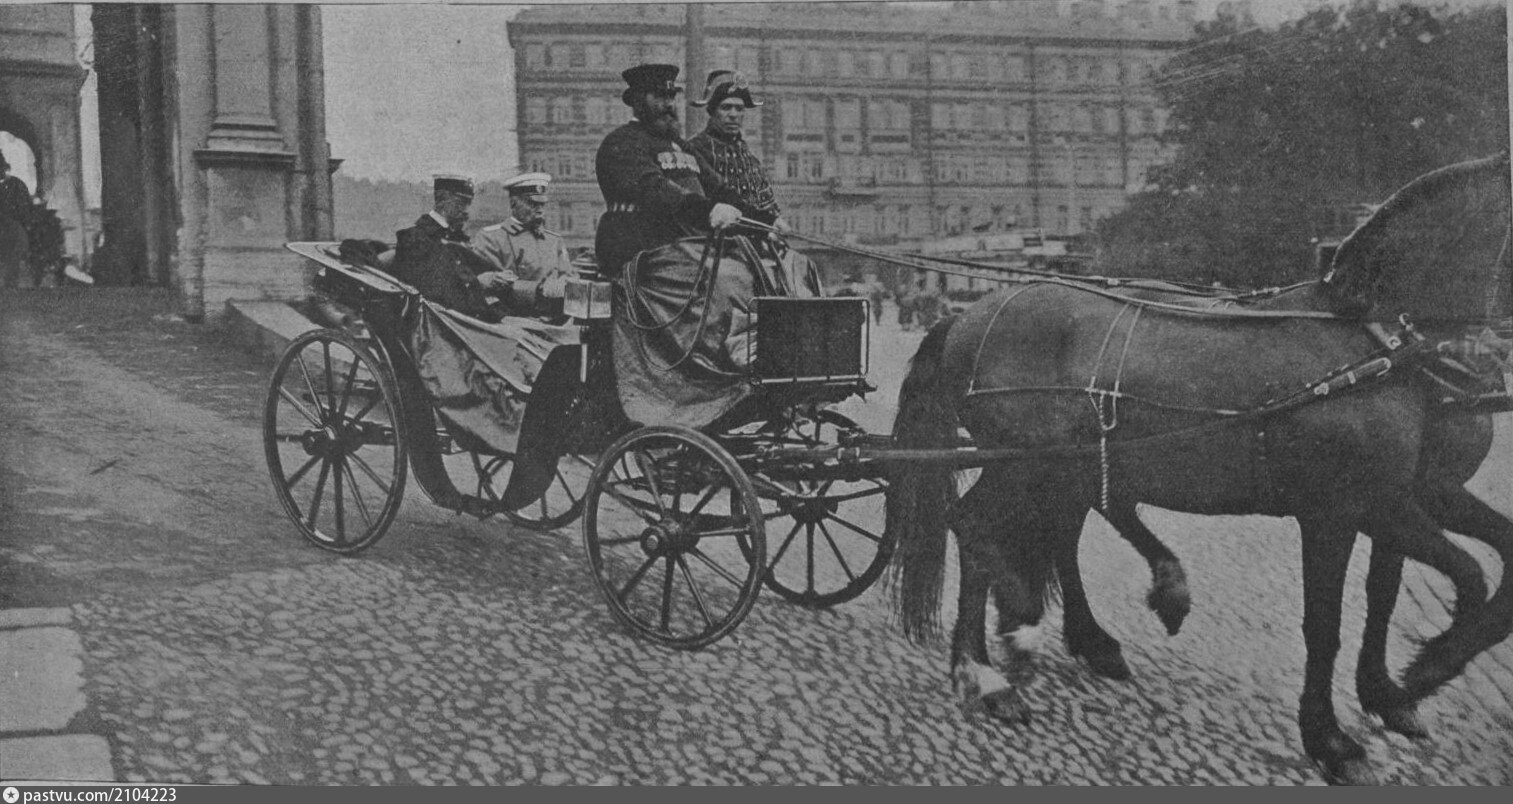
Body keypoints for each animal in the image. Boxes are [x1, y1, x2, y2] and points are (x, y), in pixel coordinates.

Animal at [885, 154, 1513, 785]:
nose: (1494, 354)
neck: (1375, 338)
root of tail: (971, 315)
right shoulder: (1341, 508)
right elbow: (1359, 610)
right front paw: (1344, 729)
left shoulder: (1410, 492)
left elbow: (1416, 584)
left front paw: (1394, 688)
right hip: (1025, 463)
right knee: (974, 525)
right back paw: (992, 663)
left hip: (1065, 465)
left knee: (1050, 530)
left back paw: (1080, 636)